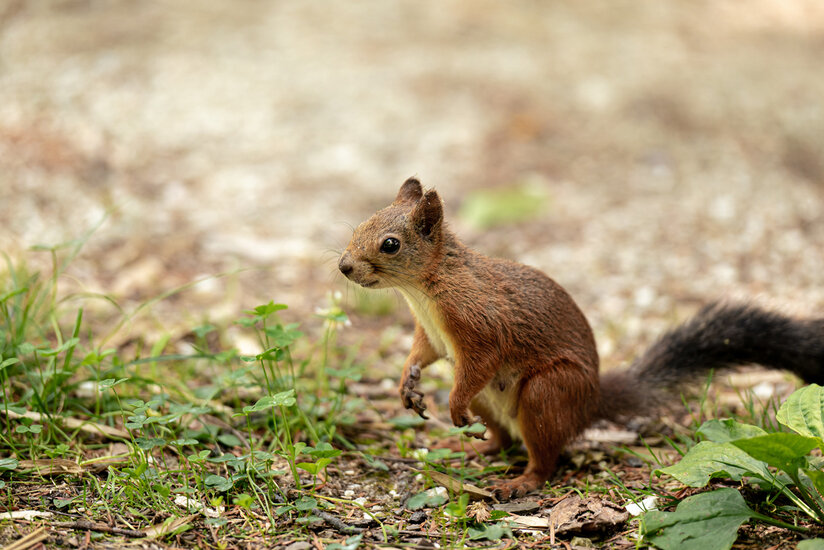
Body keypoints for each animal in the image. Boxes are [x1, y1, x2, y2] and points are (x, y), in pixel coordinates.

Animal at [336, 179, 824, 502]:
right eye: (359, 226)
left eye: (391, 244)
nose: (344, 267)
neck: (424, 290)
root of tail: (590, 404)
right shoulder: (433, 335)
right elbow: (422, 354)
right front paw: (408, 382)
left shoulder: (480, 327)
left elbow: (478, 363)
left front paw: (449, 405)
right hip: (492, 402)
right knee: (504, 440)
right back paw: (471, 447)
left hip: (547, 393)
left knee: (543, 457)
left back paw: (520, 481)